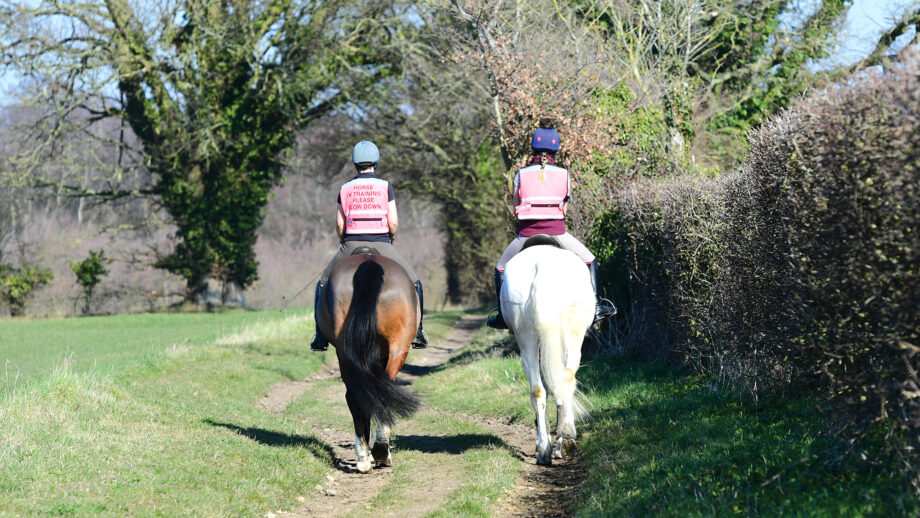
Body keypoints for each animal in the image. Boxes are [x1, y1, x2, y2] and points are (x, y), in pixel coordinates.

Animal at [315, 251, 421, 473]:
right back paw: (379, 452)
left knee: (358, 395)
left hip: (344, 352)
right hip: (399, 346)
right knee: (381, 390)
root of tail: (368, 262)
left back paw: (364, 456)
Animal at [500, 237, 595, 465]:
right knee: (565, 379)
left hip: (527, 339)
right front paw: (560, 441)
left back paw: (545, 449)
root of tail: (541, 265)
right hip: (572, 336)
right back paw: (564, 439)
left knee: (539, 389)